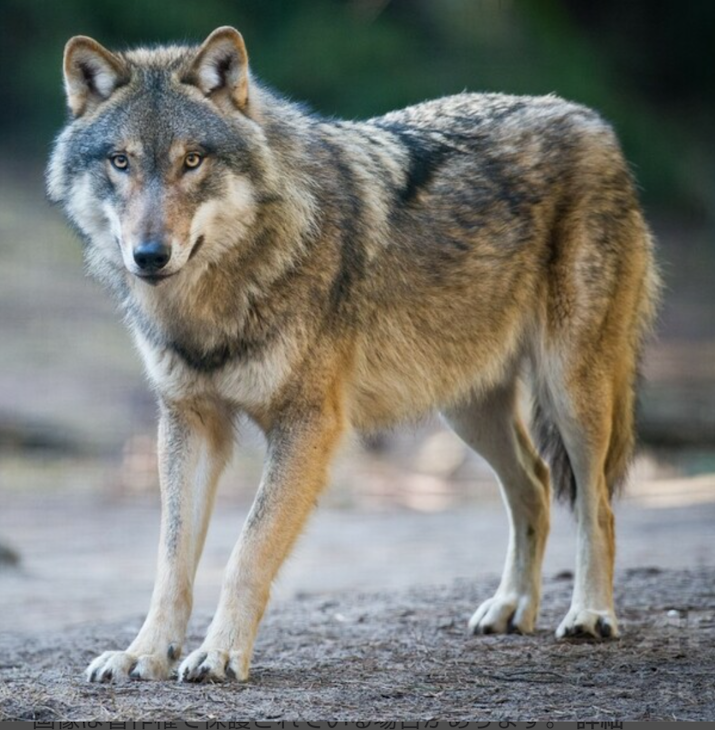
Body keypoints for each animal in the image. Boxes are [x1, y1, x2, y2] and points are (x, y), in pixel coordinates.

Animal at [46, 25, 660, 680]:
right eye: (121, 161)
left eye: (193, 160)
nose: (150, 255)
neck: (216, 300)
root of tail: (590, 118)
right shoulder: (190, 420)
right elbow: (171, 561)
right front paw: (145, 653)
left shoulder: (307, 424)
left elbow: (248, 551)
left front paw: (220, 653)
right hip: (466, 406)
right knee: (536, 484)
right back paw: (511, 607)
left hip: (572, 391)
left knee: (598, 504)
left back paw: (590, 615)